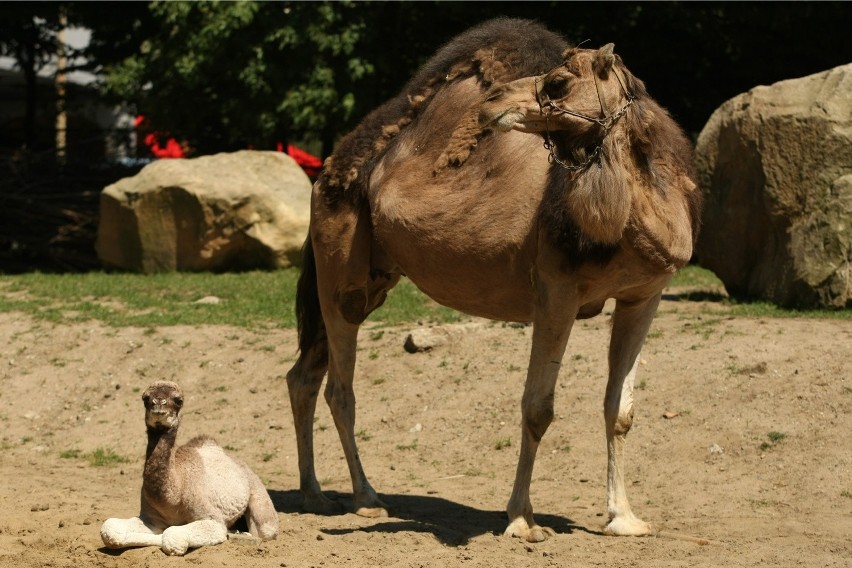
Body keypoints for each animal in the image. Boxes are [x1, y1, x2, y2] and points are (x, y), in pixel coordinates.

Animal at [101, 382, 278, 556]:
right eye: (145, 398)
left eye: (178, 400)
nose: (158, 405)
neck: (174, 494)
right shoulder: (151, 519)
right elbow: (110, 528)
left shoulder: (211, 518)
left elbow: (172, 536)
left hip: (259, 497)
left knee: (265, 530)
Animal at [286, 16, 700, 540]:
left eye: (558, 83)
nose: (493, 102)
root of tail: (327, 169)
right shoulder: (557, 289)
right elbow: (538, 407)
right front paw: (522, 519)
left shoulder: (644, 295)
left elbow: (620, 410)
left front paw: (624, 518)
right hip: (340, 265)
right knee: (340, 389)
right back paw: (366, 498)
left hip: (371, 277)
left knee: (303, 376)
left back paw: (314, 494)